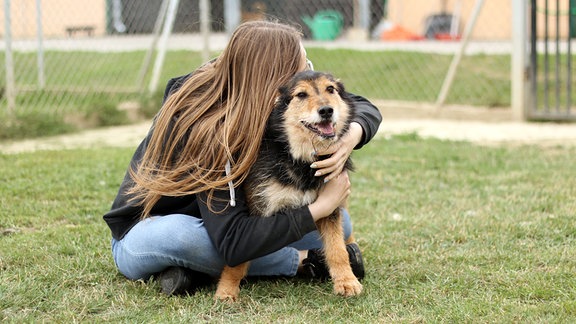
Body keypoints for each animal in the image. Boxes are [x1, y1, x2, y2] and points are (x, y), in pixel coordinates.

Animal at [214, 70, 362, 302]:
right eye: (301, 94)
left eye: (330, 89)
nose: (326, 111)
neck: (301, 159)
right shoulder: (259, 208)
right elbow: (238, 255)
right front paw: (227, 289)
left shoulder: (330, 205)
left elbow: (337, 248)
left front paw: (346, 281)